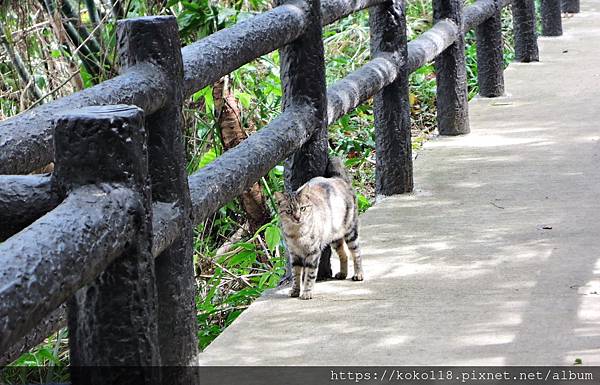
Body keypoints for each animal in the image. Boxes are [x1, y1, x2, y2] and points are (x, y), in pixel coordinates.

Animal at [274, 158, 364, 298]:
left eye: (302, 208)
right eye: (289, 211)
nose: (297, 218)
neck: (297, 234)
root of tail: (337, 179)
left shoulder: (313, 252)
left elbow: (310, 275)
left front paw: (307, 292)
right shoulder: (294, 254)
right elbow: (296, 274)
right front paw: (295, 290)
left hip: (351, 231)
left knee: (356, 252)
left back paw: (358, 273)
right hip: (334, 238)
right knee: (344, 254)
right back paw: (343, 273)